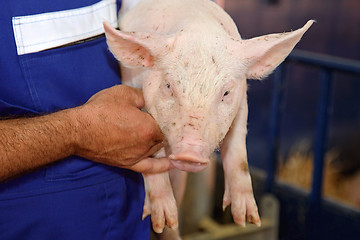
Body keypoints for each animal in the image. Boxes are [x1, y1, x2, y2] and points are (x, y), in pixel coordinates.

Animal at [102, 0, 314, 234]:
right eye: (168, 85)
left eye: (226, 92)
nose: (190, 154)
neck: (197, 24)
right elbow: (152, 155)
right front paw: (162, 220)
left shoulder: (242, 102)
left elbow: (238, 151)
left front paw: (247, 220)